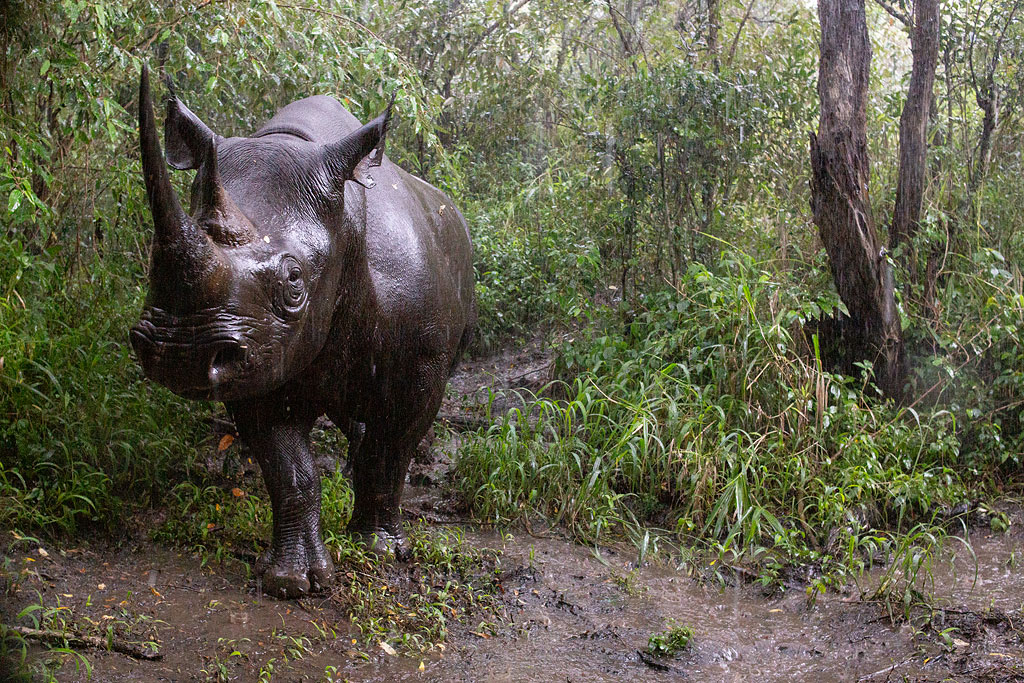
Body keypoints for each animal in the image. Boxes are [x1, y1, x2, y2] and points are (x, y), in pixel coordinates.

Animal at [129, 66, 475, 599]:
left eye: (294, 281)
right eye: (151, 257)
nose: (179, 355)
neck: (345, 224)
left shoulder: (419, 360)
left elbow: (393, 447)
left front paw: (378, 549)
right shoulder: (259, 354)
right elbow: (289, 471)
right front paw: (293, 581)